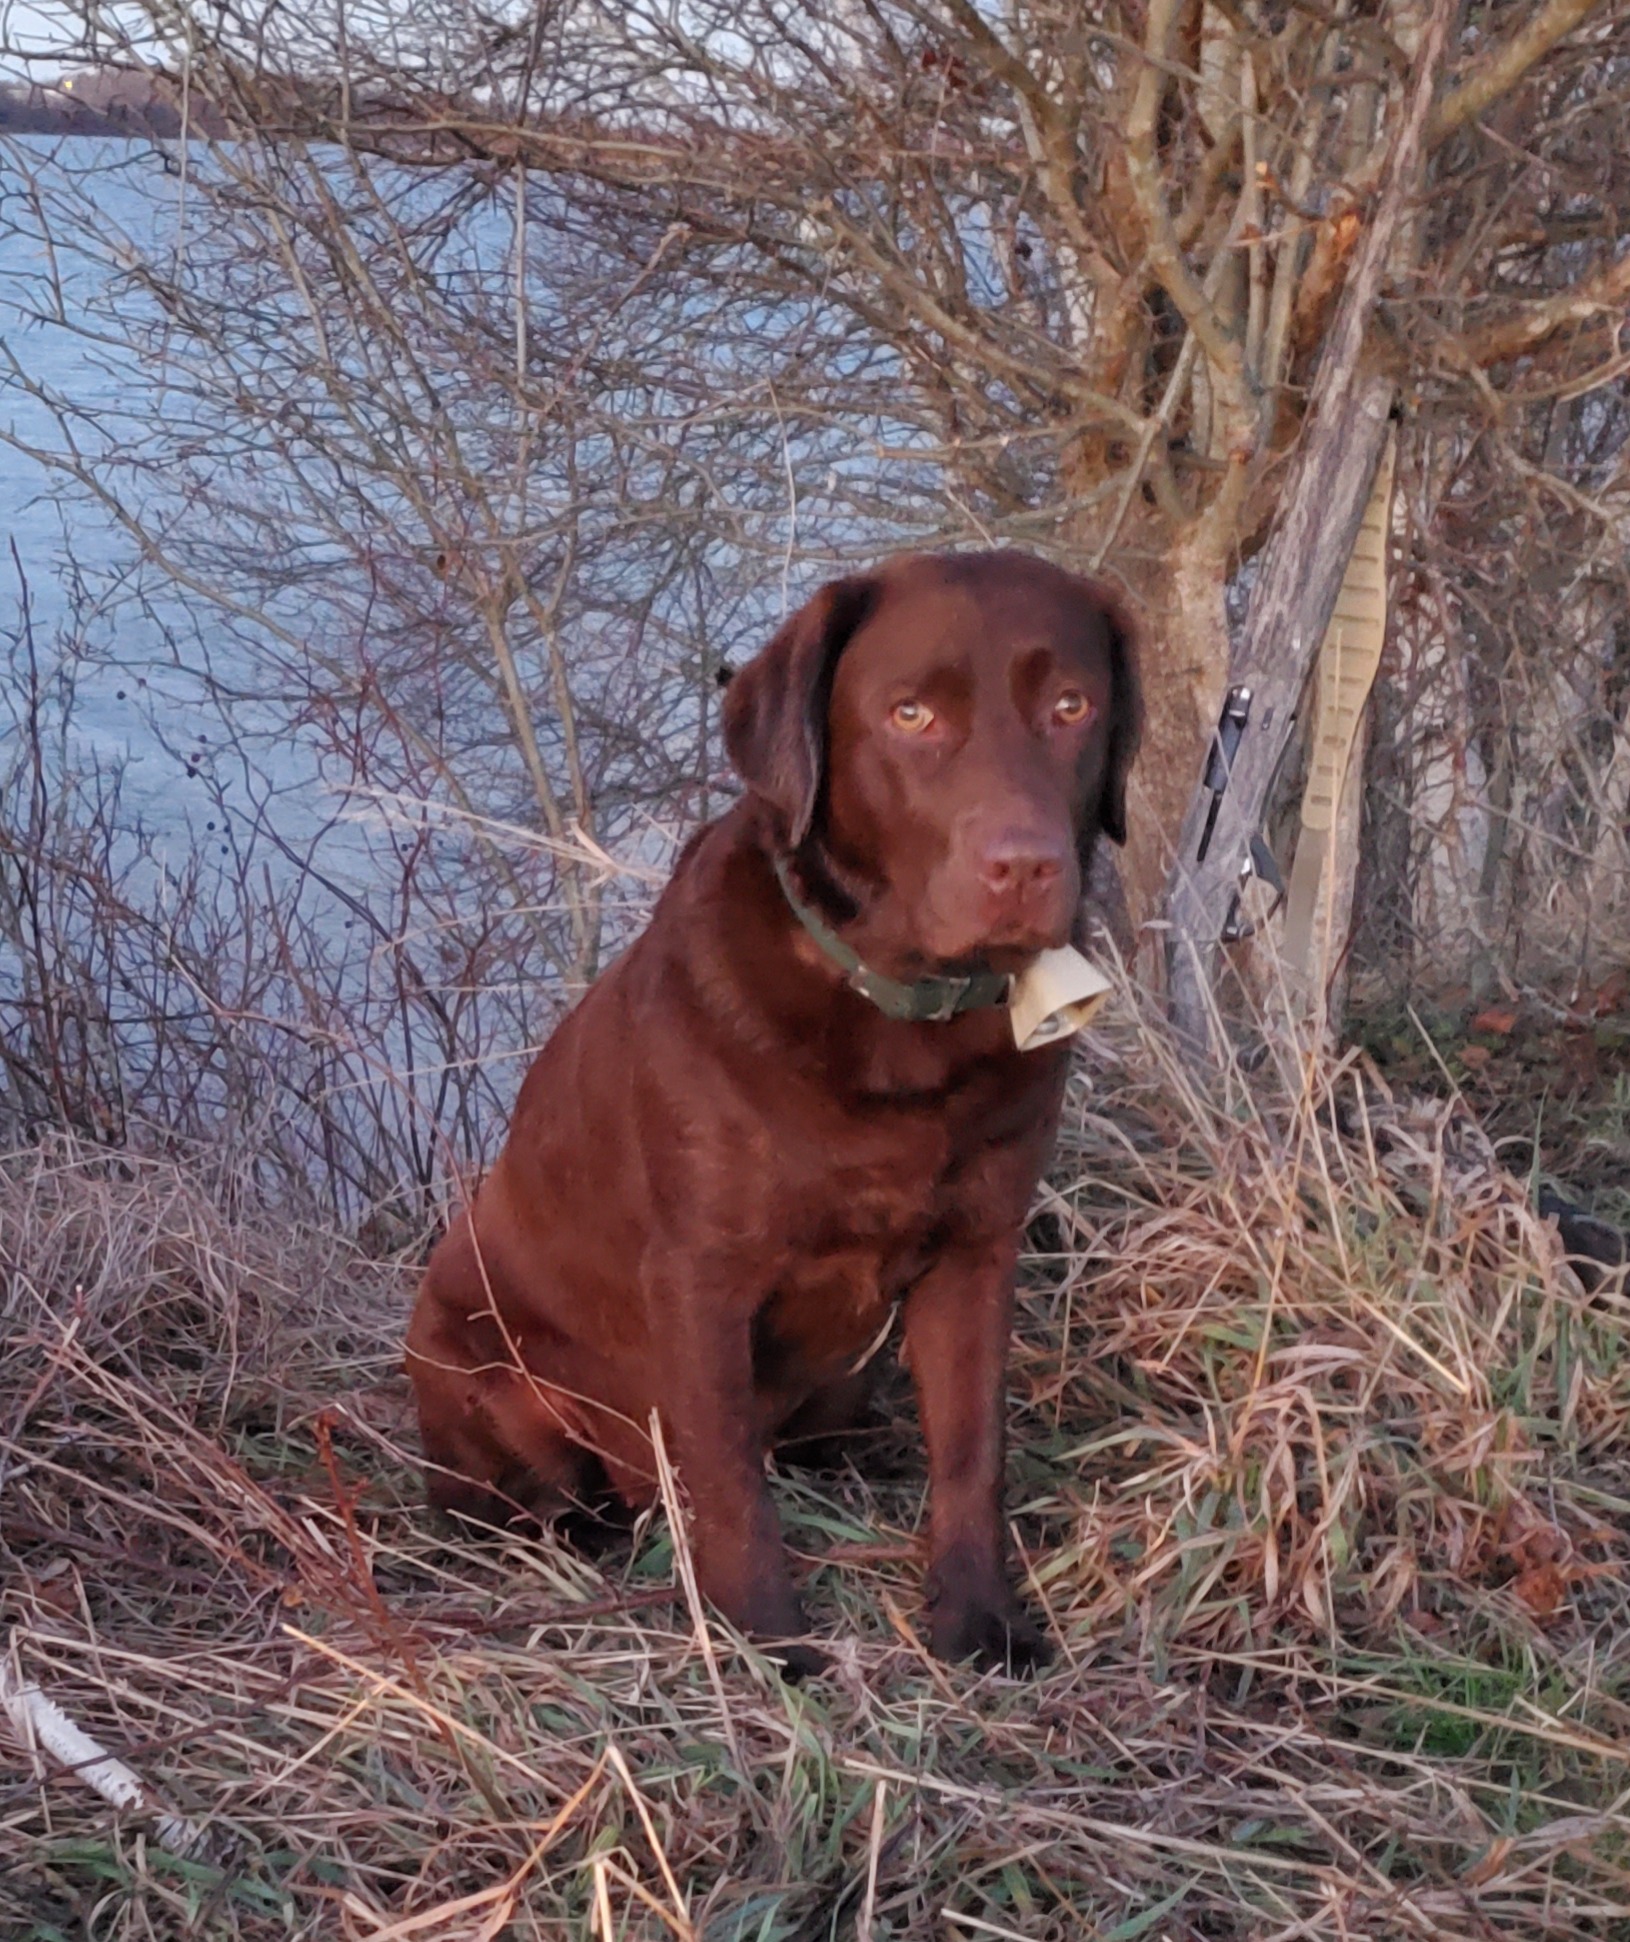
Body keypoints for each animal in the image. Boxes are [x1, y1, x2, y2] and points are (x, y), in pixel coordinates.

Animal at [407, 548, 1141, 1673]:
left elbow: (973, 1450)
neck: (898, 1024)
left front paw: (979, 1617)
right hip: (469, 1363)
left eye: (1072, 705)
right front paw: (766, 1644)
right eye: (910, 713)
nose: (1024, 866)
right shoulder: (700, 1278)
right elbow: (725, 1479)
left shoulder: (979, 1250)